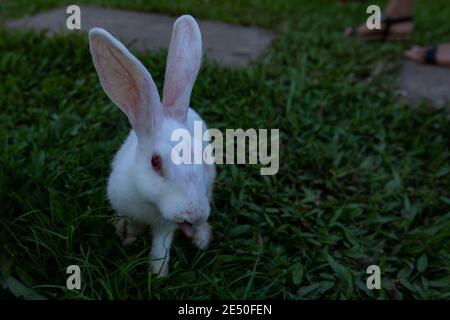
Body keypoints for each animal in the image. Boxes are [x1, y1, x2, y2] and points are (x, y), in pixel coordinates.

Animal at [89, 15, 215, 276]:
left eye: (202, 158)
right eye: (155, 162)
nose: (193, 214)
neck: (149, 204)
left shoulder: (166, 225)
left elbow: (161, 247)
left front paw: (157, 275)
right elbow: (133, 226)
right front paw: (127, 239)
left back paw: (201, 239)